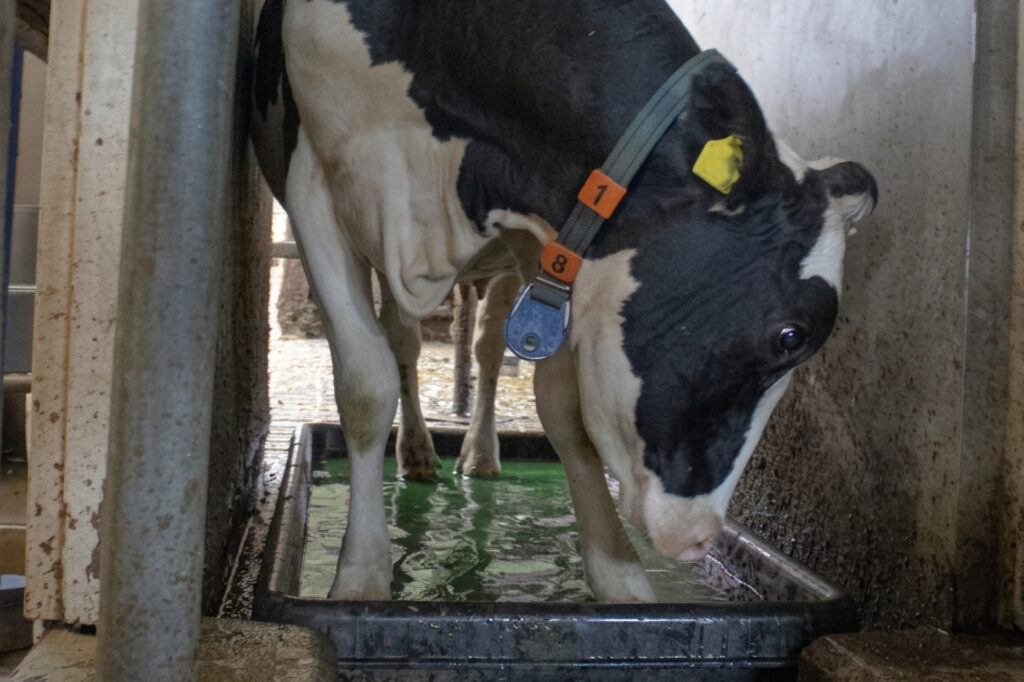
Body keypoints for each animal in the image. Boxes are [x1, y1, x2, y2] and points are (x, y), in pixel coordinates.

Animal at [251, 0, 877, 602]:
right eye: (791, 335)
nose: (700, 538)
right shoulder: (312, 185)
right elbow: (365, 387)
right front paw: (359, 576)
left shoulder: (547, 234)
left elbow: (564, 408)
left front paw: (620, 576)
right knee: (402, 344)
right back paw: (418, 453)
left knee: (483, 349)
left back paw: (478, 454)